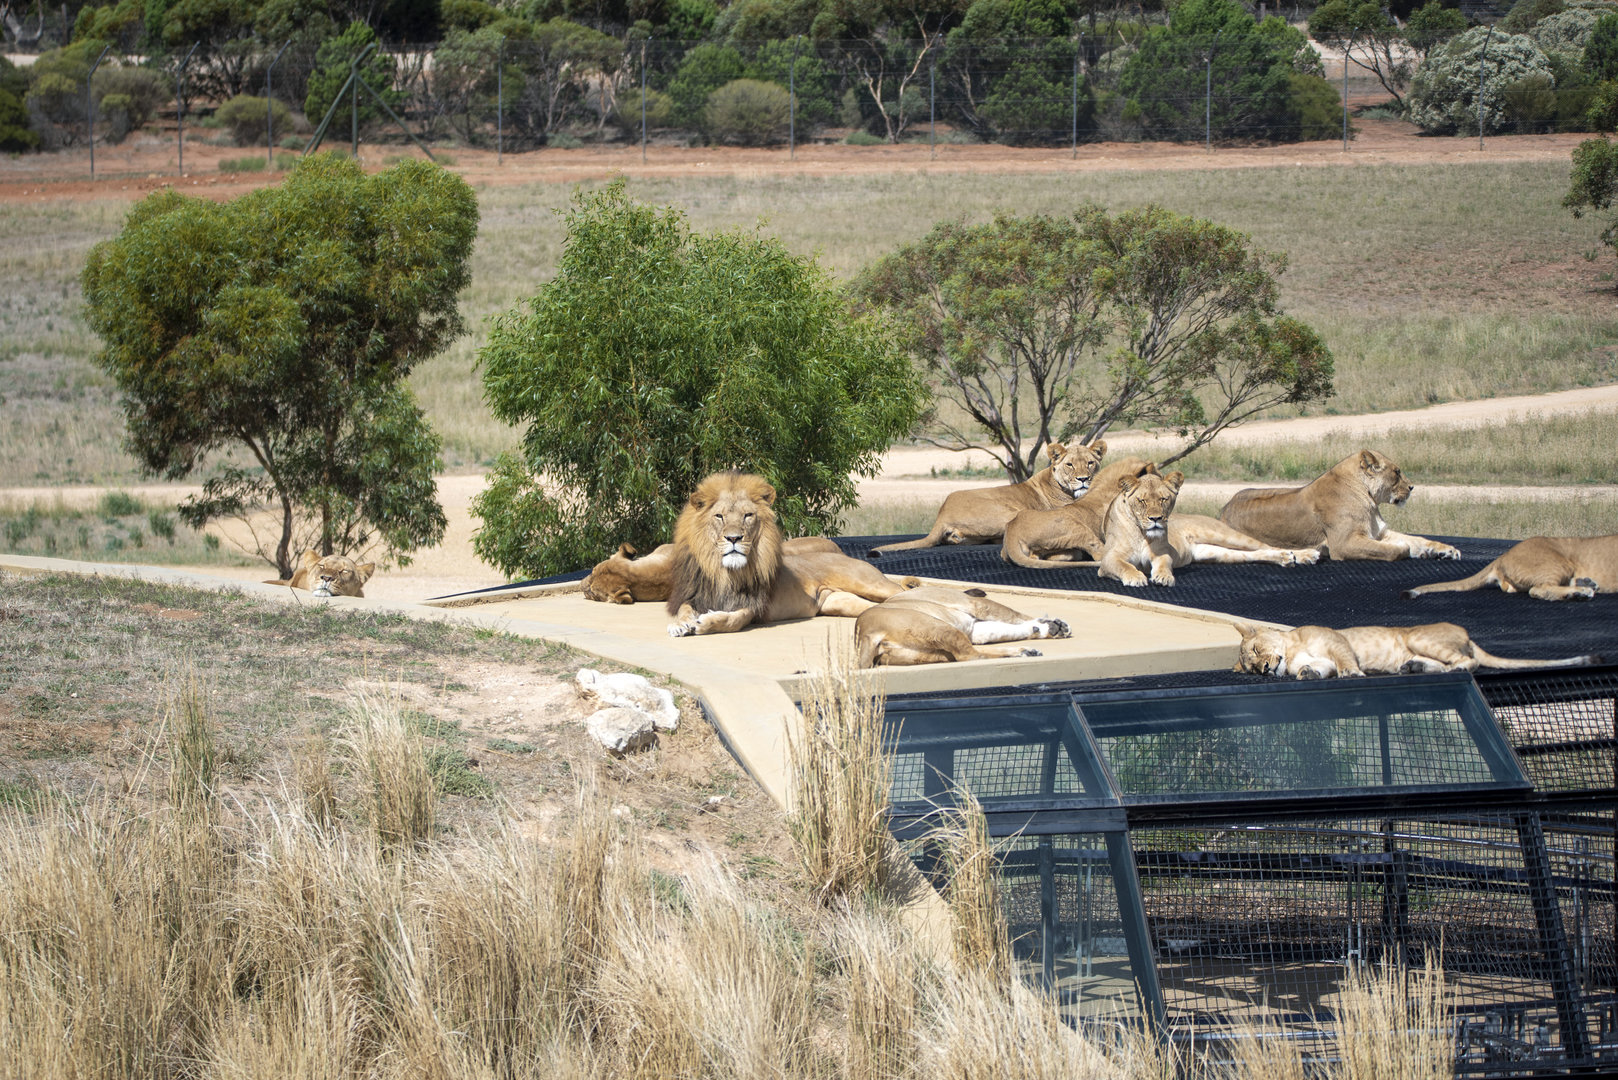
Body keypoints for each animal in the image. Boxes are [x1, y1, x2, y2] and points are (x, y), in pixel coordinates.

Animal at [666, 472, 919, 637]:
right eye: (719, 516)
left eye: (748, 515)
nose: (734, 538)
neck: (723, 571)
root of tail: (846, 555)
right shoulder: (696, 595)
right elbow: (683, 609)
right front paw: (681, 624)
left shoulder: (754, 608)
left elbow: (731, 620)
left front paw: (706, 622)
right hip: (841, 602)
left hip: (868, 583)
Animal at [855, 586, 1071, 667]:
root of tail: (864, 633)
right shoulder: (976, 604)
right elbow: (1014, 615)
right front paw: (1052, 626)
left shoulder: (973, 627)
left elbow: (1004, 629)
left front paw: (1047, 629)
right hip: (940, 628)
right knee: (971, 656)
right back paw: (1022, 653)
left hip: (932, 652)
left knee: (968, 654)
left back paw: (1026, 652)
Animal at [1097, 466, 1322, 588]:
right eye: (1142, 501)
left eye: (1163, 499)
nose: (1156, 519)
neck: (1142, 533)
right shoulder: (1108, 560)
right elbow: (1124, 565)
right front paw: (1136, 577)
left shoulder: (1162, 553)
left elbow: (1164, 563)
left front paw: (1163, 576)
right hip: (1219, 553)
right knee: (1255, 553)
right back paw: (1287, 558)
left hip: (1225, 535)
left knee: (1266, 546)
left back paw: (1302, 555)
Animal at [1218, 449, 1460, 562]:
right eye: (1397, 472)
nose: (1411, 487)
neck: (1368, 499)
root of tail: (1224, 508)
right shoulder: (1344, 543)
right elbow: (1397, 549)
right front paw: (1411, 551)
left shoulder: (1381, 533)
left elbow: (1418, 539)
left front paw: (1446, 550)